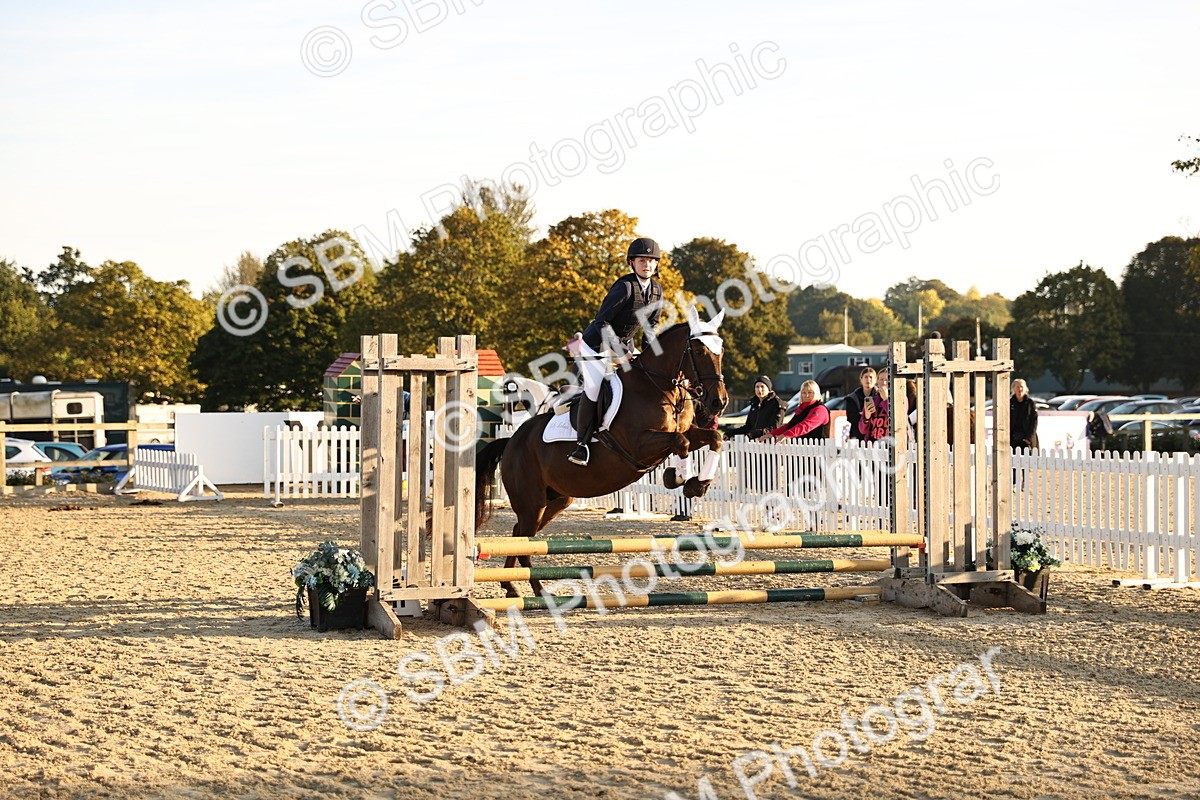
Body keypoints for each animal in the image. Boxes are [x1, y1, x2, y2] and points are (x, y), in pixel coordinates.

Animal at [475, 309, 730, 598]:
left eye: (720, 350)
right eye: (698, 351)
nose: (719, 402)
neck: (660, 386)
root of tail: (511, 442)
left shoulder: (689, 431)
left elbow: (713, 438)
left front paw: (699, 483)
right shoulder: (639, 444)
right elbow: (681, 442)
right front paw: (680, 479)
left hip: (556, 500)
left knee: (520, 534)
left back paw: (510, 585)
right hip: (531, 502)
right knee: (523, 539)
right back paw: (539, 591)